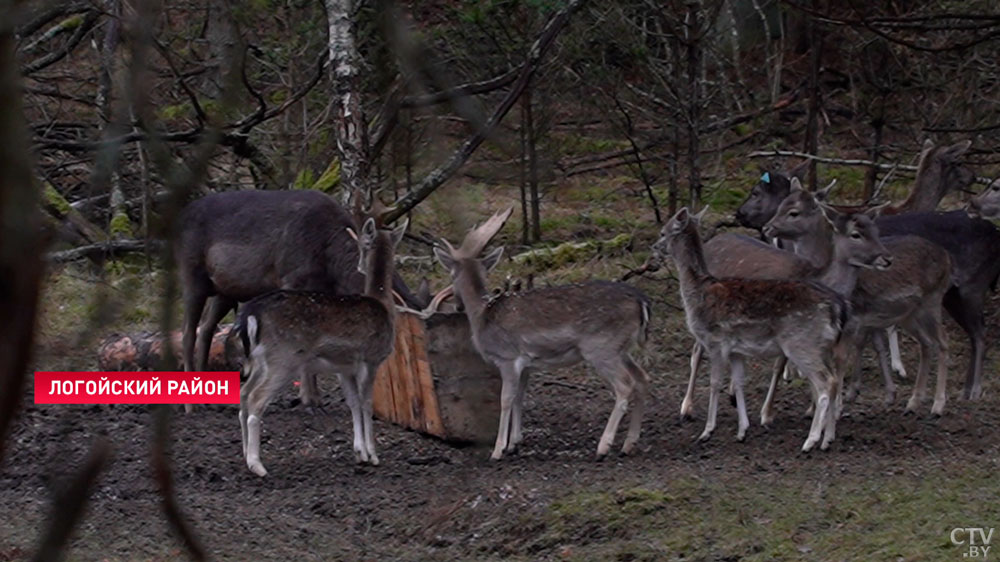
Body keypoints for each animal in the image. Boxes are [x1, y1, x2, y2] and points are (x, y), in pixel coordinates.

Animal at [177, 186, 426, 410]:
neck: (329, 262)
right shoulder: (292, 279)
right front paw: (309, 399)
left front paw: (312, 396)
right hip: (191, 275)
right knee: (188, 332)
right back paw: (190, 405)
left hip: (225, 290)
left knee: (206, 328)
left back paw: (208, 400)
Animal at [234, 214, 406, 472]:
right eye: (361, 243)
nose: (359, 266)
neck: (384, 305)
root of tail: (250, 314)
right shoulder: (371, 359)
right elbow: (366, 403)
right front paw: (374, 455)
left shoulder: (344, 368)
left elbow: (353, 403)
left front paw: (359, 453)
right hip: (283, 358)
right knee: (256, 398)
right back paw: (257, 465)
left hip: (259, 361)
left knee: (244, 394)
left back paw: (245, 455)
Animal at [432, 207, 652, 460]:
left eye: (450, 275)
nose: (457, 305)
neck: (483, 313)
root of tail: (642, 302)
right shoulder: (526, 364)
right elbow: (520, 397)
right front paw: (514, 443)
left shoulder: (507, 357)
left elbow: (506, 399)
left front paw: (497, 450)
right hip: (621, 348)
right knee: (642, 378)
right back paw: (629, 444)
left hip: (601, 348)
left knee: (625, 385)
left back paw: (603, 447)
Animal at [656, 207, 852, 450]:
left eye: (663, 232)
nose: (654, 247)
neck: (697, 293)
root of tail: (838, 307)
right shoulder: (736, 350)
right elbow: (739, 383)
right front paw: (742, 430)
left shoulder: (716, 341)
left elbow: (715, 383)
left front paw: (707, 431)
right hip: (823, 347)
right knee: (833, 380)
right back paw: (828, 439)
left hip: (802, 344)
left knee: (826, 383)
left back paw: (811, 441)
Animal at [764, 184, 952, 412]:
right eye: (781, 204)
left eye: (794, 212)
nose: (767, 228)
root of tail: (947, 257)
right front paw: (816, 407)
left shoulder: (854, 320)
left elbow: (843, 358)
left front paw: (838, 404)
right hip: (909, 313)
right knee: (926, 343)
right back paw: (914, 400)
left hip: (932, 301)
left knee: (943, 341)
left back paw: (938, 404)